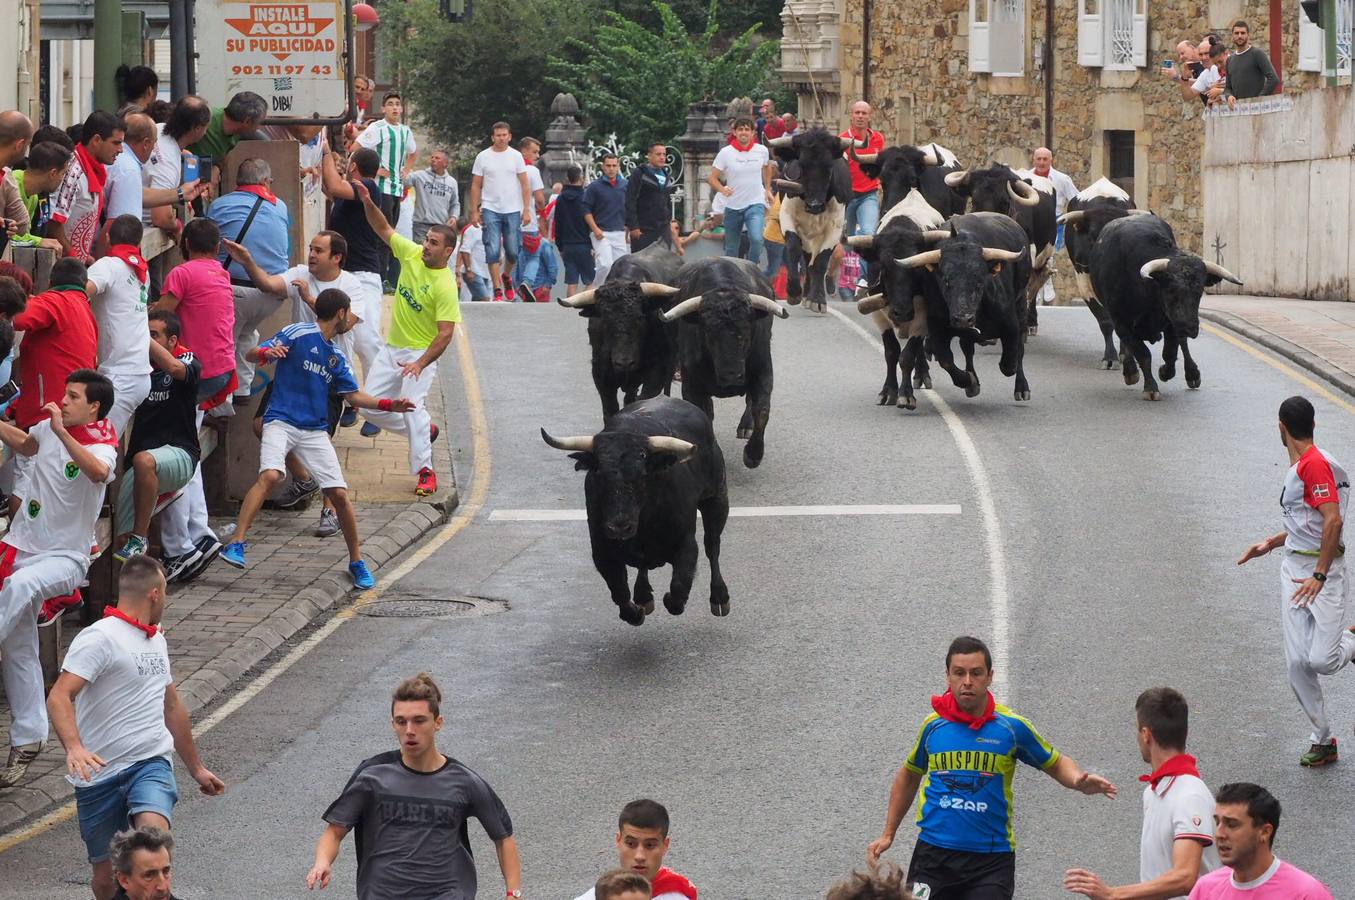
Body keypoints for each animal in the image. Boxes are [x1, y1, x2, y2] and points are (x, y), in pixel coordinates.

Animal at [539, 398, 731, 628]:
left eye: (643, 473)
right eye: (598, 472)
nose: (619, 527)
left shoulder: (686, 544)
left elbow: (678, 589)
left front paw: (670, 599)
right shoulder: (602, 551)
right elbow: (620, 592)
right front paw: (636, 611)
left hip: (717, 498)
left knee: (712, 545)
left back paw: (720, 598)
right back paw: (644, 596)